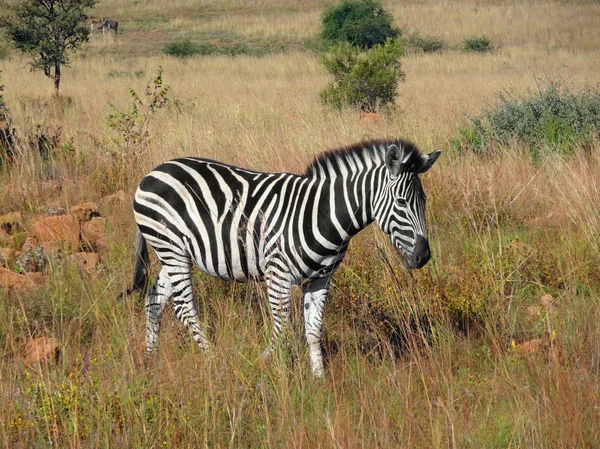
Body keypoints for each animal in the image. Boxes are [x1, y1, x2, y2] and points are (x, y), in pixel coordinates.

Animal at [129, 138, 440, 376]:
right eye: (401, 202)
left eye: (424, 201)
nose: (423, 257)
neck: (321, 213)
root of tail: (153, 172)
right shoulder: (277, 274)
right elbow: (282, 330)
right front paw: (264, 364)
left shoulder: (321, 279)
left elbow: (313, 330)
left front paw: (319, 380)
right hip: (172, 249)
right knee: (184, 307)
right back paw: (211, 358)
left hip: (174, 253)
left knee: (154, 300)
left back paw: (150, 358)